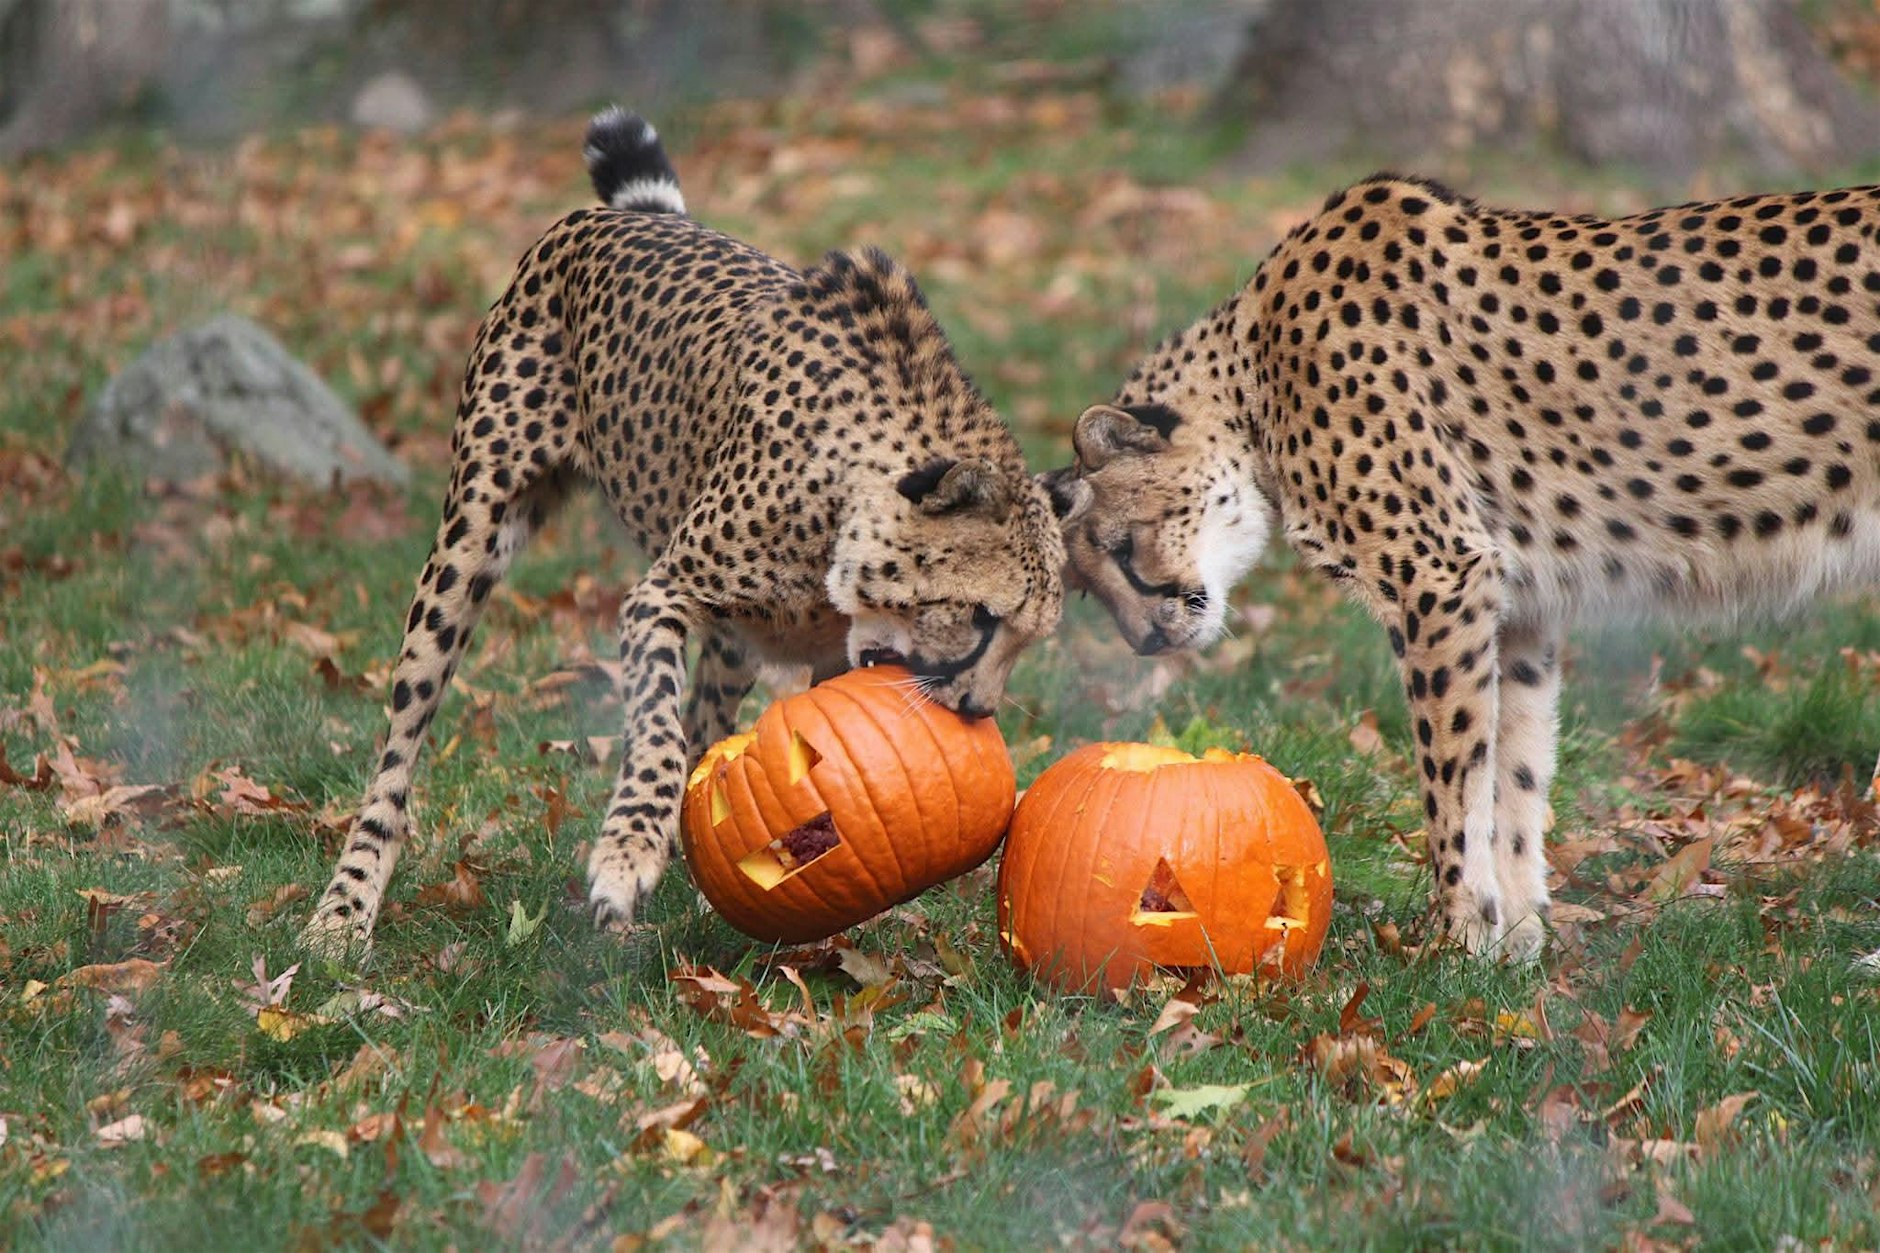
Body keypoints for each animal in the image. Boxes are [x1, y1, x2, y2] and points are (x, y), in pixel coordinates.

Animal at [302, 108, 1068, 953]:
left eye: (1029, 640)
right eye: (981, 617)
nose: (977, 712)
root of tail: (632, 216)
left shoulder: (822, 656)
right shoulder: (660, 593)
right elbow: (658, 734)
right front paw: (627, 850)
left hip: (730, 642)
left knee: (709, 721)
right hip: (469, 540)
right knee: (399, 750)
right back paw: (344, 909)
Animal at [1043, 173, 1880, 959]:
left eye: (1121, 547)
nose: (1149, 639)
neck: (1254, 380)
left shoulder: (1440, 575)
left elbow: (1453, 782)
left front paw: (1459, 941)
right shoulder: (1520, 611)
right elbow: (1515, 775)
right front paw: (1516, 939)